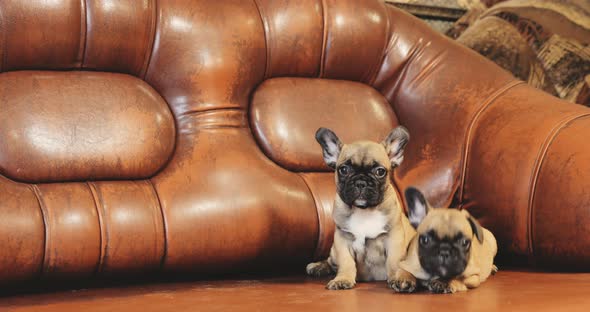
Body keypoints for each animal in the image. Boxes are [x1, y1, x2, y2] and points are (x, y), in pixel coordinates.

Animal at [308, 126, 418, 290]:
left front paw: (400, 278)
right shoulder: (342, 240)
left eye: (380, 171)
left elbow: (395, 261)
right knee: (331, 262)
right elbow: (346, 262)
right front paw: (343, 279)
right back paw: (318, 267)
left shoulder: (394, 239)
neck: (364, 211)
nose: (361, 182)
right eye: (344, 170)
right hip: (333, 250)